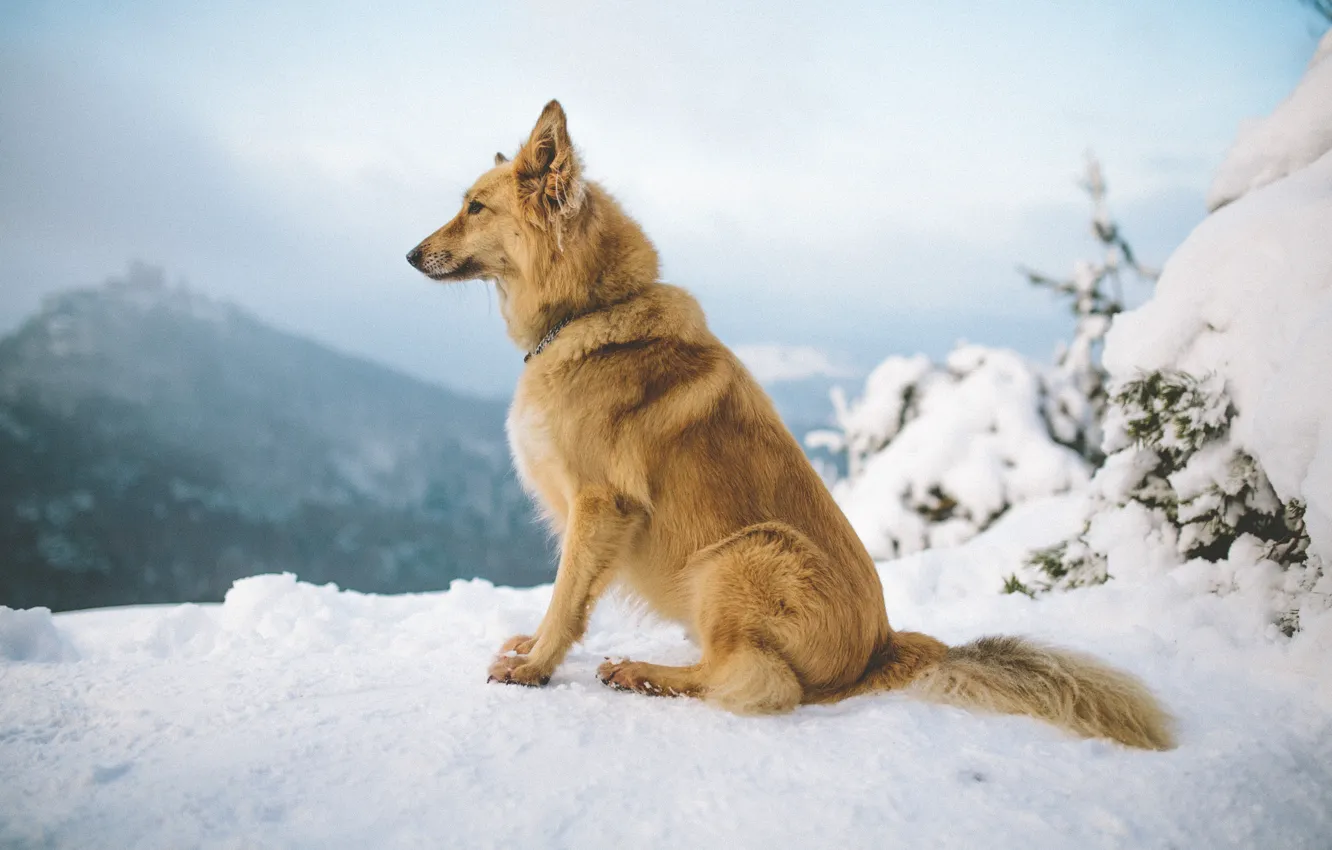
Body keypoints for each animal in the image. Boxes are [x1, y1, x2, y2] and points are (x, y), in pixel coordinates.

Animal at [404, 101, 1177, 751]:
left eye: (474, 207)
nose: (409, 256)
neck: (594, 311)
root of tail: (884, 644)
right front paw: (531, 650)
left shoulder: (601, 506)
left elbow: (567, 600)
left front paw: (536, 666)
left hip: (746, 552)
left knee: (754, 680)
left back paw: (644, 672)